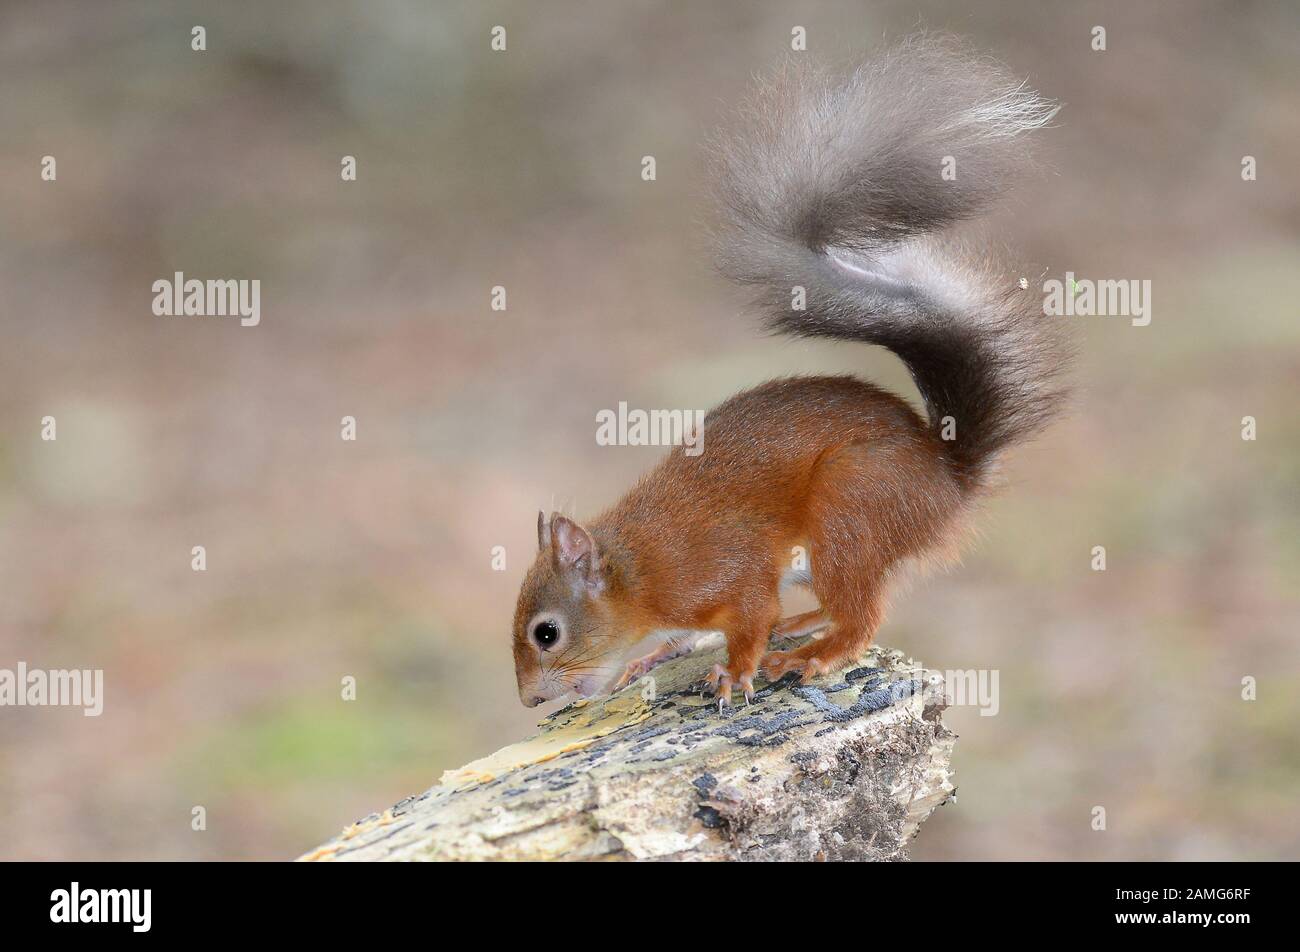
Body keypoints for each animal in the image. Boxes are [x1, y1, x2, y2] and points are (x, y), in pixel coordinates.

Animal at [506, 37, 1066, 707]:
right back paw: (800, 624)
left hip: (850, 507)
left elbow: (749, 617)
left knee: (861, 616)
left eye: (546, 633)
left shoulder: (727, 570)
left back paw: (812, 654)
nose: (531, 701)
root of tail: (950, 480)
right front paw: (654, 656)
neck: (639, 569)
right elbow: (690, 635)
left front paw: (735, 672)